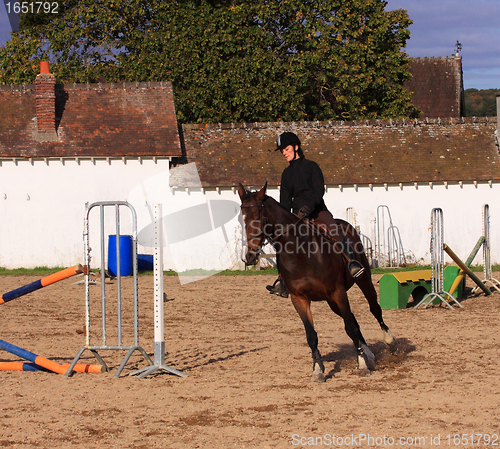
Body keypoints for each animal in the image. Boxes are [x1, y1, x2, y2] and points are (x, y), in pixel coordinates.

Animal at [238, 182, 394, 382]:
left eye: (258, 217)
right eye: (243, 219)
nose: (249, 257)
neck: (301, 252)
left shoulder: (338, 293)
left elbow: (350, 327)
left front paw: (361, 365)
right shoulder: (299, 299)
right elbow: (312, 335)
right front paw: (318, 369)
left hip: (361, 280)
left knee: (373, 308)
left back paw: (388, 341)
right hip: (331, 302)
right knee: (352, 319)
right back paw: (368, 353)